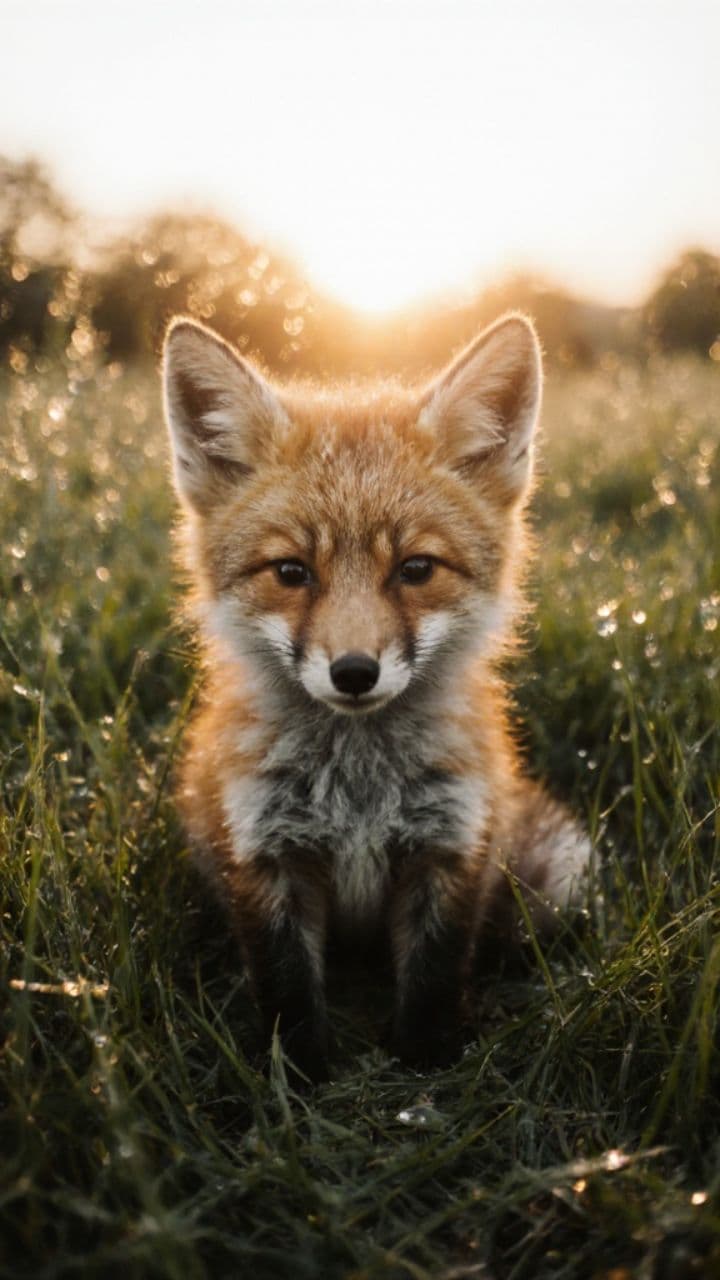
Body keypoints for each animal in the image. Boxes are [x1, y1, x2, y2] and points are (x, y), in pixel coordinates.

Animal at [161, 311, 590, 1081]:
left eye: (416, 569)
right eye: (291, 571)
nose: (355, 672)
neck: (357, 789)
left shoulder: (449, 850)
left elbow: (433, 984)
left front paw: (424, 1071)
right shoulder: (266, 859)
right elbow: (288, 995)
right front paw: (298, 1082)